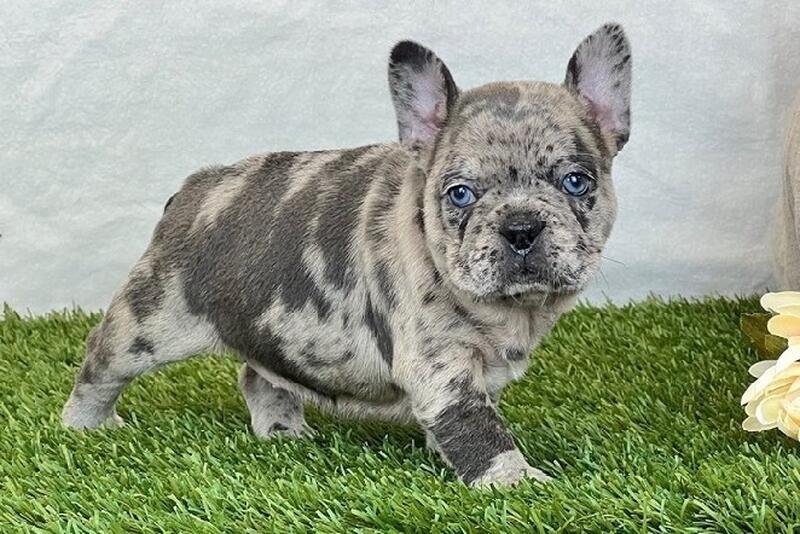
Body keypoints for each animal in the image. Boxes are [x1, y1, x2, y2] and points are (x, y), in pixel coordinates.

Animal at [62, 23, 632, 486]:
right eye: (460, 194)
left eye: (576, 182)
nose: (521, 227)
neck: (513, 309)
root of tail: (191, 192)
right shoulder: (440, 364)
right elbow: (478, 427)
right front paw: (515, 482)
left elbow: (466, 416)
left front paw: (445, 453)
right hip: (150, 320)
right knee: (100, 363)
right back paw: (84, 425)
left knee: (257, 373)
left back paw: (282, 430)